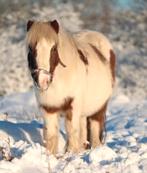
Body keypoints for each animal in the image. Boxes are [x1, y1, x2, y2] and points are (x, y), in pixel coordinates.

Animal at [26, 19, 116, 155]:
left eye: (53, 48)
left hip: (99, 108)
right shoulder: (48, 108)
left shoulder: (72, 106)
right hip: (84, 111)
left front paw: (70, 153)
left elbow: (71, 130)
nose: (42, 80)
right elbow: (51, 134)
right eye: (31, 49)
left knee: (95, 133)